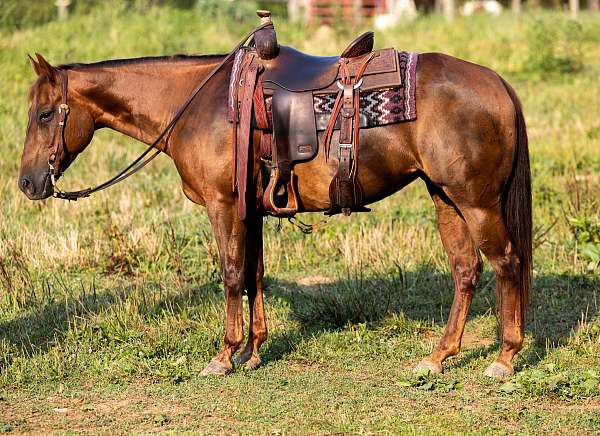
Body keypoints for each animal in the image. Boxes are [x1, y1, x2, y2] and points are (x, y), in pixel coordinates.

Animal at [18, 49, 532, 378]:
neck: (197, 106)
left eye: (44, 114)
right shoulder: (251, 211)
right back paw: (439, 357)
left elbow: (230, 275)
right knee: (465, 270)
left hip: (476, 202)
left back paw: (505, 359)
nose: (27, 183)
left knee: (507, 263)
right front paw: (253, 350)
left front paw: (224, 356)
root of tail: (498, 83)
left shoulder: (224, 206)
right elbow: (254, 275)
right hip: (445, 198)